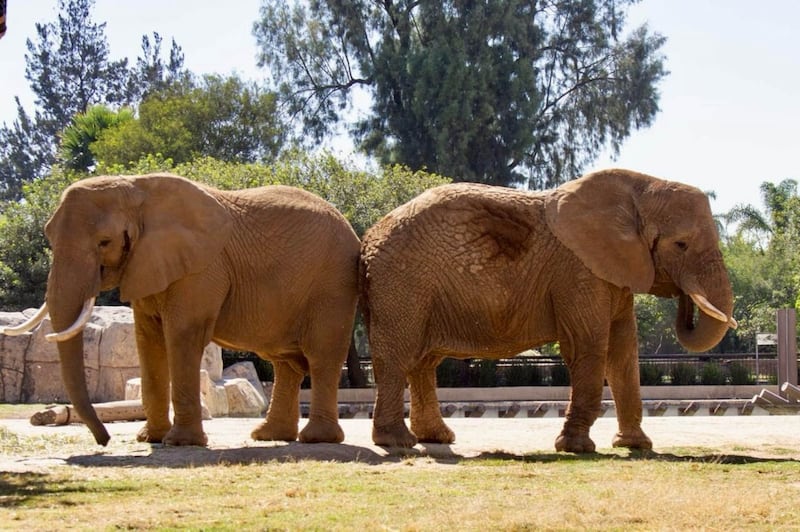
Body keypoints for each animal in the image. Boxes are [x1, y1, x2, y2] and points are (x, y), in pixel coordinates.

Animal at [3, 174, 360, 444]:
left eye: (104, 242)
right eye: (49, 237)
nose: (104, 440)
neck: (138, 189)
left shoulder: (202, 270)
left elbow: (183, 336)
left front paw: (180, 442)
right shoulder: (147, 263)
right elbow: (148, 342)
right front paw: (151, 439)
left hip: (332, 287)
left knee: (321, 357)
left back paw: (316, 439)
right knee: (286, 364)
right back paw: (268, 436)